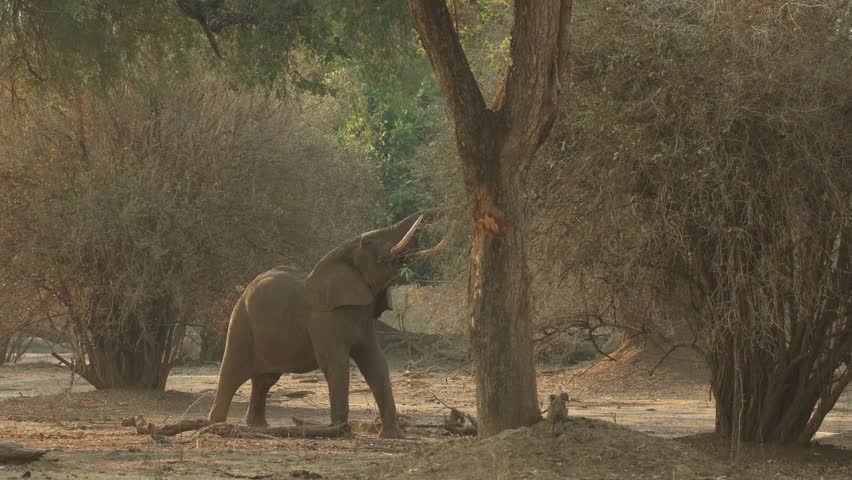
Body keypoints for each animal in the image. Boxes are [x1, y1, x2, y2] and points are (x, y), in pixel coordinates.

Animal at [208, 212, 444, 438]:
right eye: (368, 242)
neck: (340, 254)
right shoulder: (323, 317)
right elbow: (335, 363)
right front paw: (340, 432)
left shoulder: (363, 319)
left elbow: (376, 363)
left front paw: (394, 436)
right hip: (241, 322)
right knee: (232, 373)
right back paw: (215, 423)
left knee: (265, 380)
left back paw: (258, 426)